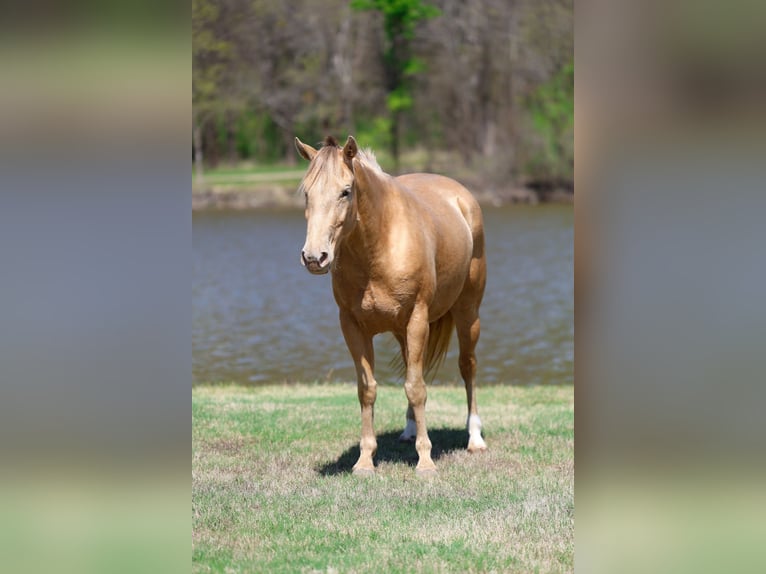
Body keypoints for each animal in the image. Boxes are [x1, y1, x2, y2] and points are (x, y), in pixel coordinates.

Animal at [295, 135, 487, 476]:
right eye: (307, 192)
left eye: (346, 191)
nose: (314, 257)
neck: (379, 245)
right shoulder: (352, 326)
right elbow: (368, 389)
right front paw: (364, 461)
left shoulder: (418, 320)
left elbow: (417, 387)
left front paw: (425, 461)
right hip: (402, 331)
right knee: (413, 368)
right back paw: (409, 430)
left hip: (468, 313)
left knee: (468, 366)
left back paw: (475, 438)